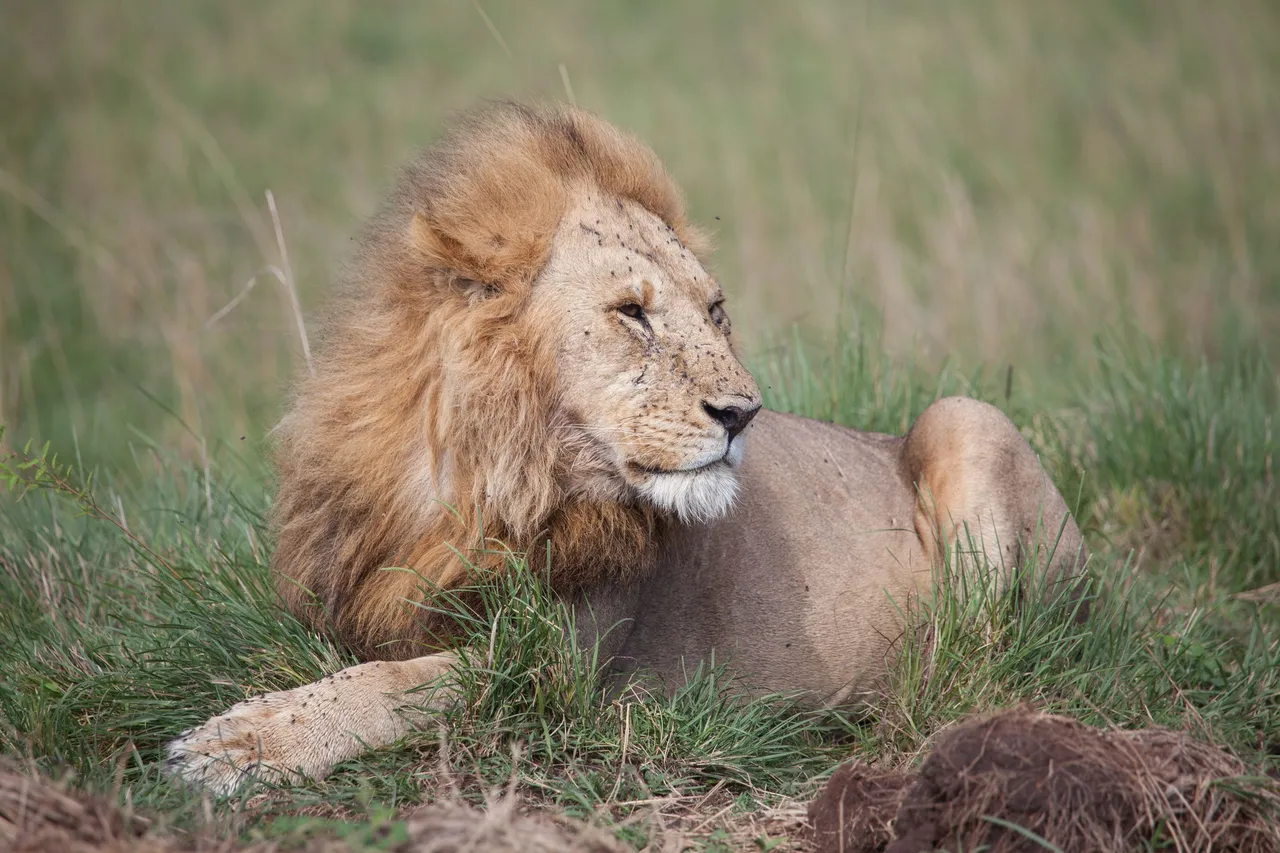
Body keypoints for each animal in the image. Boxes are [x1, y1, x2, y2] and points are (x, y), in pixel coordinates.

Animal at [162, 99, 1090, 788]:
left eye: (713, 310)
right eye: (632, 312)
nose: (744, 413)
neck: (475, 478)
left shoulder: (549, 667)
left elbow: (395, 688)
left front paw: (240, 742)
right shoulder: (342, 602)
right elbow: (352, 667)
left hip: (965, 417)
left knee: (979, 660)